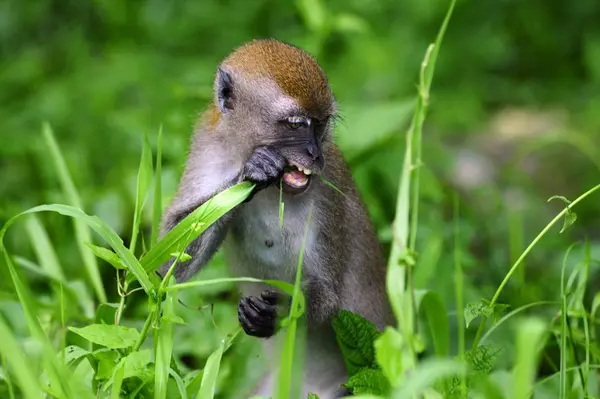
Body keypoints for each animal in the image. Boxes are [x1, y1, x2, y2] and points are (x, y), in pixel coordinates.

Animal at [159, 38, 394, 399]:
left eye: (320, 124)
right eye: (296, 125)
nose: (314, 154)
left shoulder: (330, 186)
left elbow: (328, 292)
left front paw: (282, 309)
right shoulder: (208, 144)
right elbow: (165, 268)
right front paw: (253, 171)